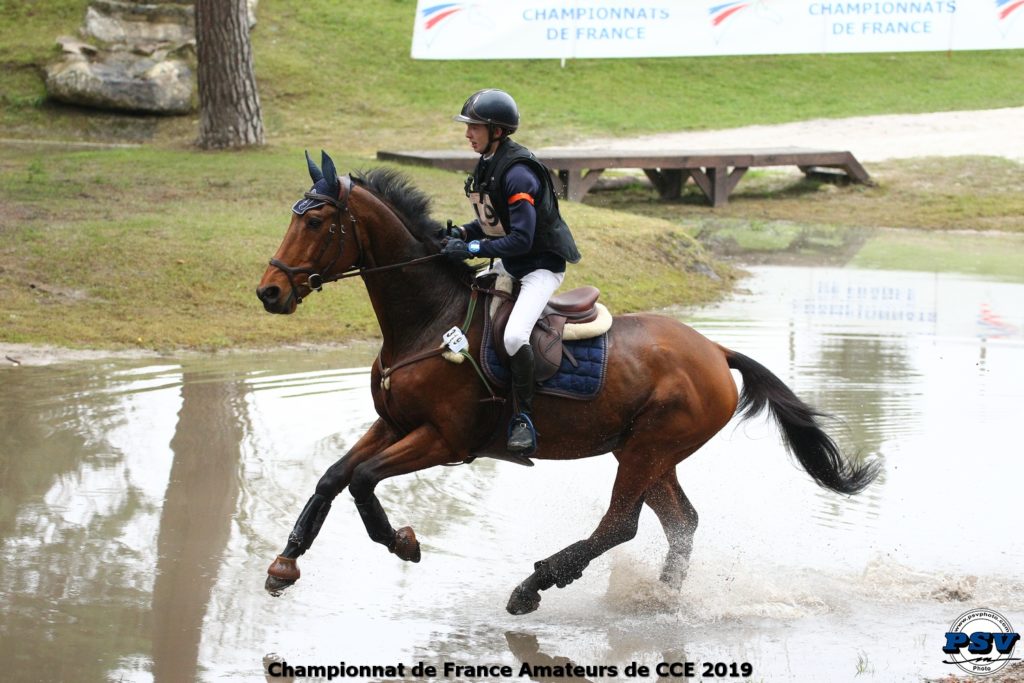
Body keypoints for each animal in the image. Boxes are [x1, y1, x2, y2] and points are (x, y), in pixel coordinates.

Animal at [256, 152, 880, 618]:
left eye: (315, 223)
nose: (269, 292)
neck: (428, 320)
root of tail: (714, 350)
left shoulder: (443, 439)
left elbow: (362, 480)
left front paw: (403, 542)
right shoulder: (394, 423)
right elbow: (332, 478)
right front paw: (285, 564)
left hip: (649, 448)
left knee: (620, 525)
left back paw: (535, 585)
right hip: (646, 451)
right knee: (680, 523)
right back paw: (661, 600)